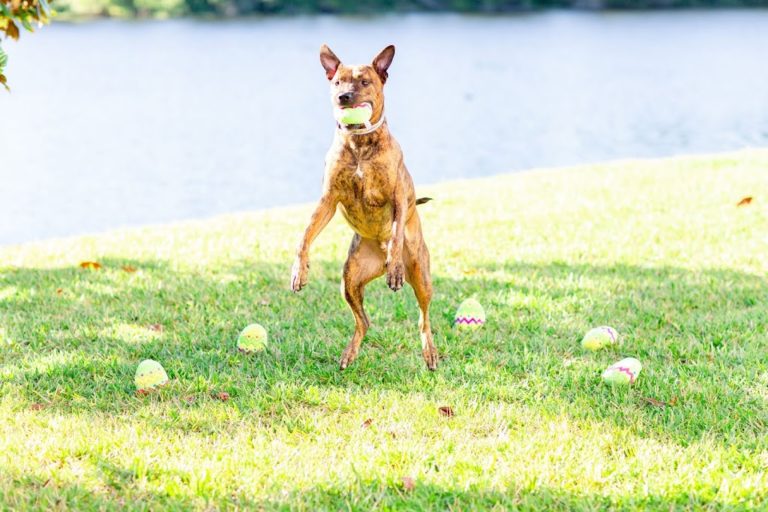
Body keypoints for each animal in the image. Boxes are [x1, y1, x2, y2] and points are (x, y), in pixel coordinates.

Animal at [290, 44, 438, 370]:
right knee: (364, 320)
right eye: (337, 82)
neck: (359, 142)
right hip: (349, 280)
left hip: (421, 275)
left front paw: (394, 267)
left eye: (365, 82)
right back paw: (350, 352)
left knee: (424, 318)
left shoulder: (397, 197)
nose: (344, 96)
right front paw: (299, 271)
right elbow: (305, 235)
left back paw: (430, 351)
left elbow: (396, 233)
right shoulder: (328, 200)